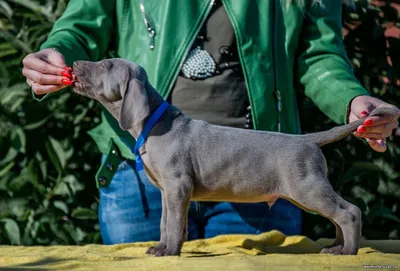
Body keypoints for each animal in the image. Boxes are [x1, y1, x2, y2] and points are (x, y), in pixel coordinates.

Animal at [72, 59, 400, 258]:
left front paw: (170, 252)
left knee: (350, 212)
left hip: (307, 187)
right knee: (340, 212)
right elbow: (166, 222)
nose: (74, 64)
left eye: (105, 65)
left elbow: (175, 223)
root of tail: (307, 139)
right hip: (308, 190)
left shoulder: (178, 186)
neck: (153, 123)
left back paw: (347, 252)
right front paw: (161, 248)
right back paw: (335, 246)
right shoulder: (167, 191)